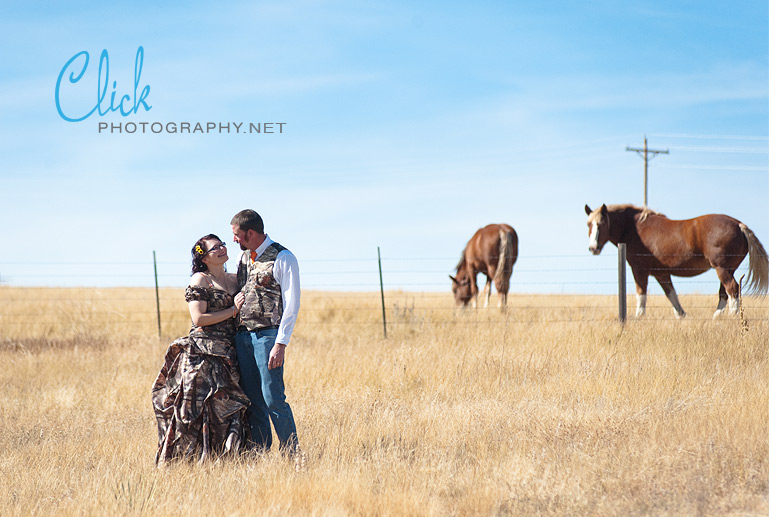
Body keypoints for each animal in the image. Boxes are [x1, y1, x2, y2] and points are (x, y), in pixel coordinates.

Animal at [584, 203, 764, 316]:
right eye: (588, 224)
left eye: (601, 224)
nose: (593, 248)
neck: (635, 229)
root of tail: (739, 225)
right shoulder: (661, 274)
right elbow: (672, 296)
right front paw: (682, 316)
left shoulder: (639, 270)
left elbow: (641, 295)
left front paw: (639, 317)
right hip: (728, 269)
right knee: (724, 293)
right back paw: (717, 318)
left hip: (722, 269)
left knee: (732, 289)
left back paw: (732, 316)